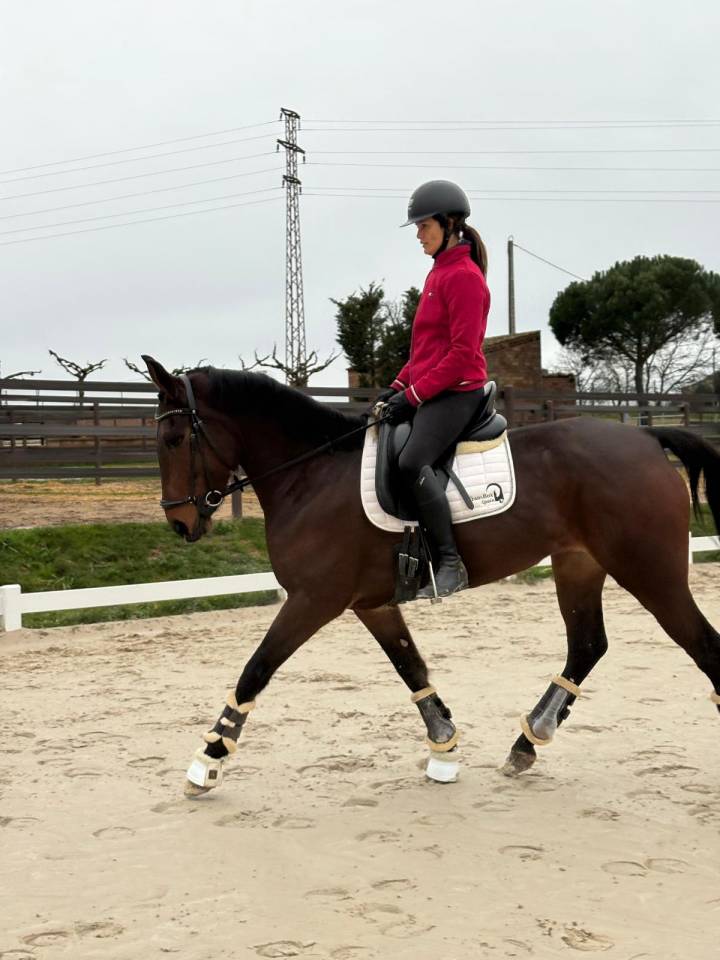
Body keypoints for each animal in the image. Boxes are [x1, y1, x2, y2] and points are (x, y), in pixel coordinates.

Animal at [142, 356, 720, 796]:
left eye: (172, 438)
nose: (179, 522)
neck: (311, 473)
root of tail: (647, 441)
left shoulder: (313, 599)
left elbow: (256, 669)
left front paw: (208, 760)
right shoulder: (370, 604)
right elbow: (411, 668)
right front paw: (444, 747)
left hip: (649, 571)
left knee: (703, 647)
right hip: (579, 564)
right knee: (588, 646)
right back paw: (526, 743)